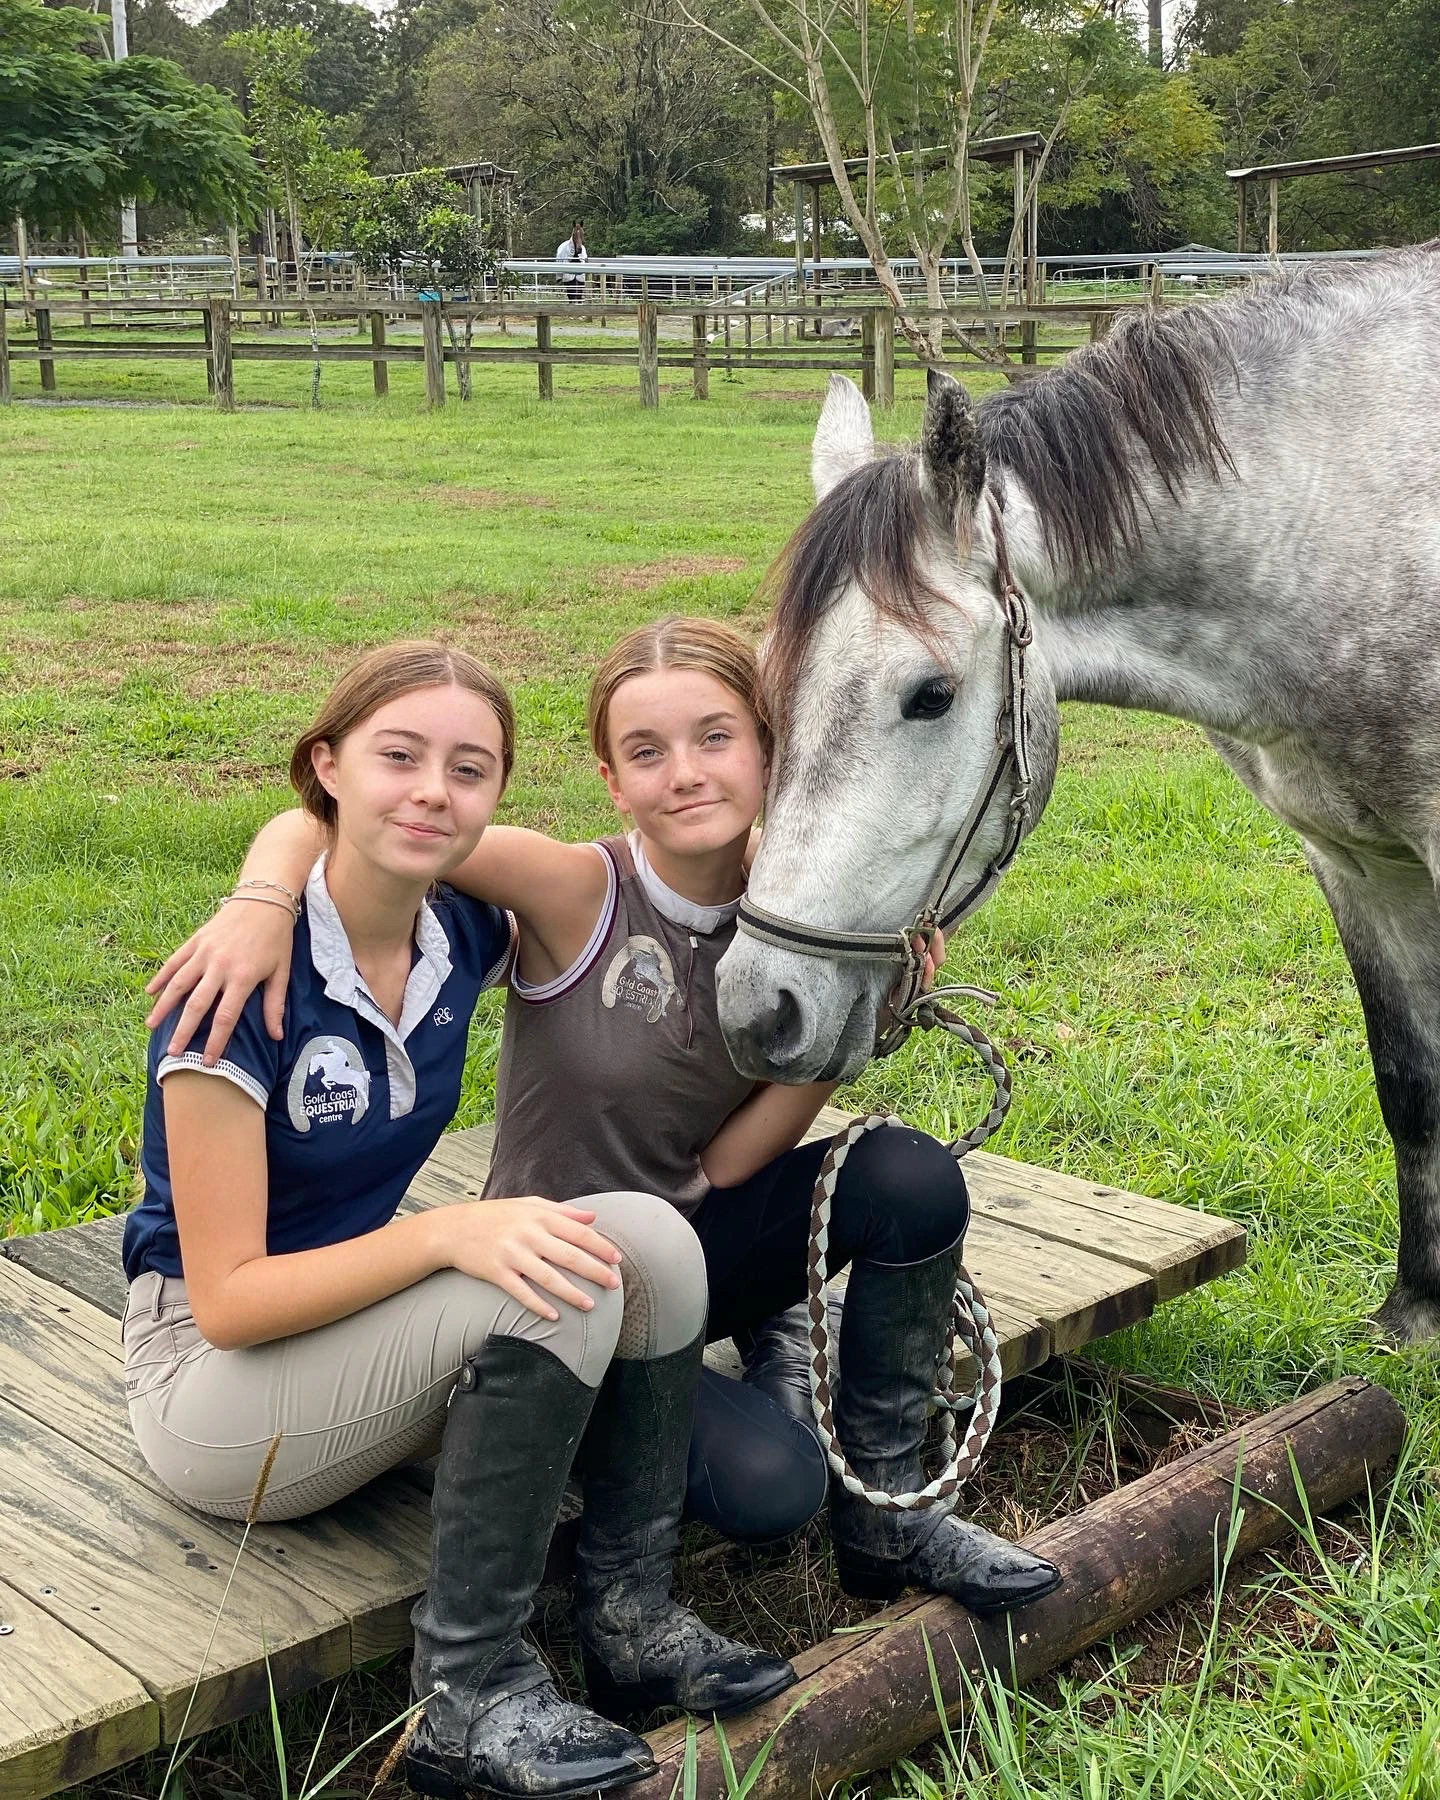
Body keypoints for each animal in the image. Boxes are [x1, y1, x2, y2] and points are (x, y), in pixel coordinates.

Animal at [716, 245, 1440, 1344]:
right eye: (767, 687)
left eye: (930, 695)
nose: (760, 1010)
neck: (1341, 517)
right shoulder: (1359, 865)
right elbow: (1412, 1080)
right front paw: (1417, 1313)